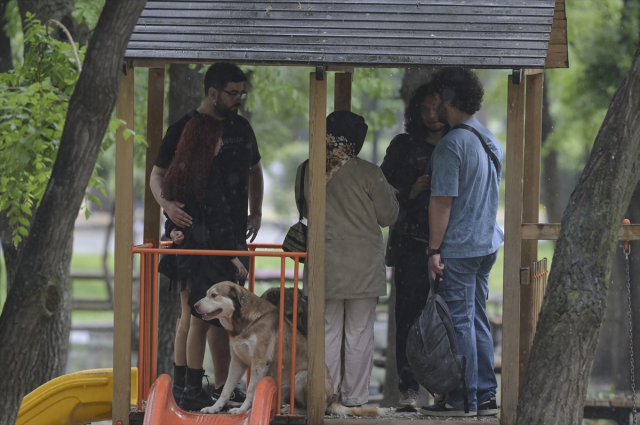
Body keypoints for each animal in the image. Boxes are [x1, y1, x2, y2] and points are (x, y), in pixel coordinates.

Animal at [192, 280, 378, 416]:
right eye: (207, 294)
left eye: (214, 295)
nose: (194, 305)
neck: (244, 323)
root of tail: (331, 399)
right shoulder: (237, 362)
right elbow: (225, 390)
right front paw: (214, 408)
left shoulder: (259, 361)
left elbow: (252, 389)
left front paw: (242, 409)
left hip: (301, 377)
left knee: (311, 409)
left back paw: (290, 409)